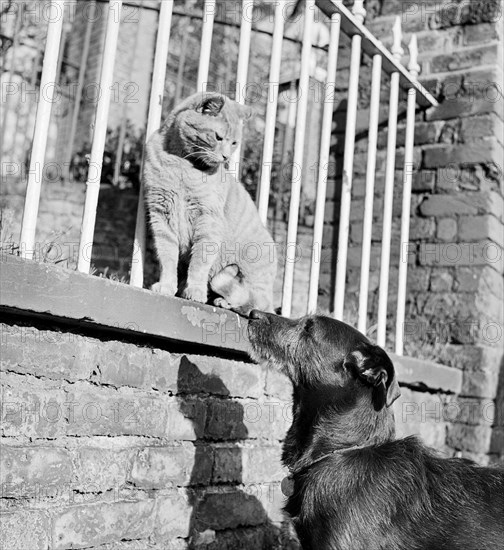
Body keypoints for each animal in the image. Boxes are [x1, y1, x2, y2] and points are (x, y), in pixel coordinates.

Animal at [142, 92, 278, 312]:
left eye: (234, 143)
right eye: (218, 137)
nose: (226, 157)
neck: (182, 163)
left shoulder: (208, 220)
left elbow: (199, 262)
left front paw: (195, 291)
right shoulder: (160, 215)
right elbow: (167, 256)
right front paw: (167, 285)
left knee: (251, 303)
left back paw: (223, 300)